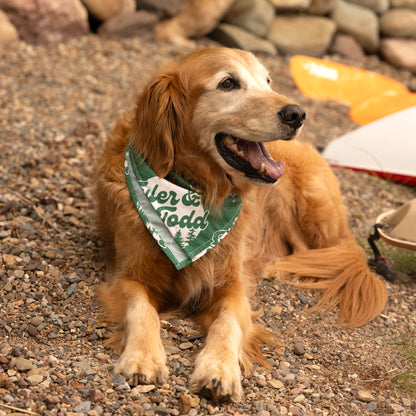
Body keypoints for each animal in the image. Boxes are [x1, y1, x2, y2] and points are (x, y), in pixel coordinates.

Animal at [95, 47, 386, 402]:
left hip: (310, 202)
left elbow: (228, 323)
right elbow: (141, 310)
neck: (201, 190)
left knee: (323, 251)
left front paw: (219, 369)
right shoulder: (128, 276)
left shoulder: (232, 286)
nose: (297, 114)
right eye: (228, 83)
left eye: (268, 81)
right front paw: (142, 357)